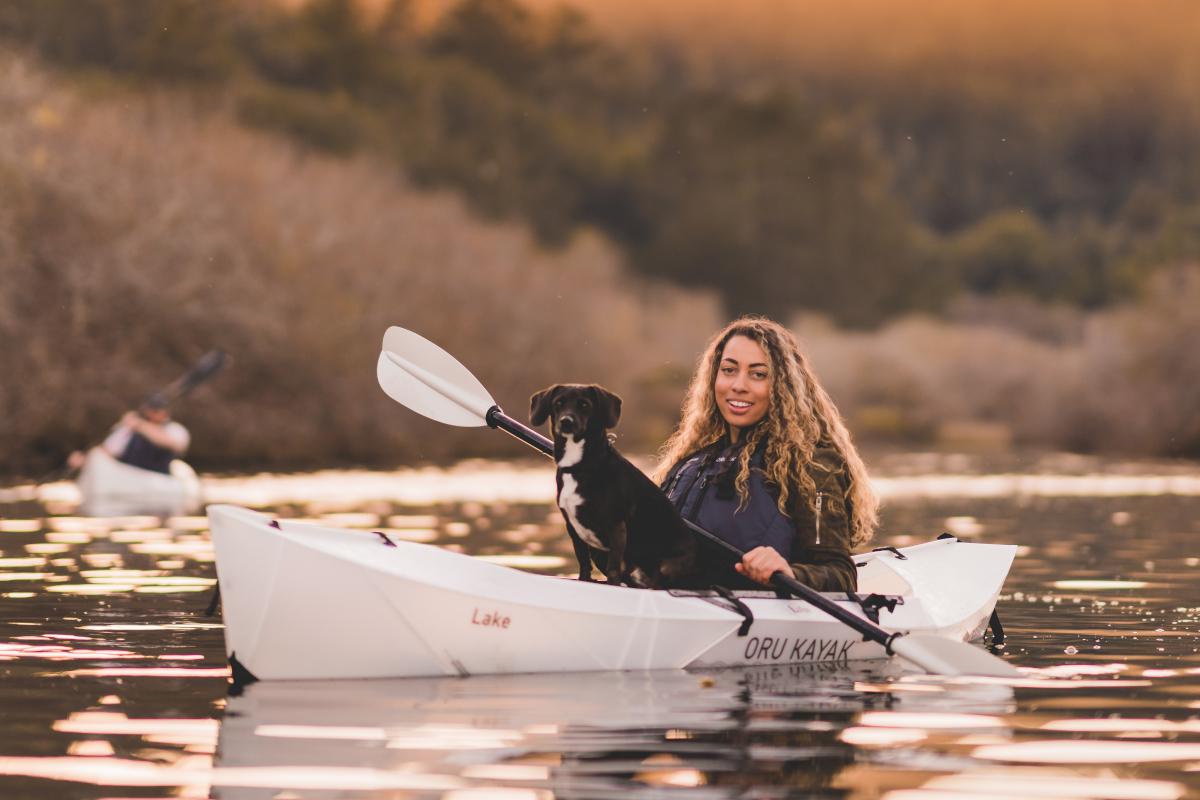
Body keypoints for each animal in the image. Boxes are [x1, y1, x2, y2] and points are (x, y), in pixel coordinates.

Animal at [530, 383, 700, 587]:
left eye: (585, 405)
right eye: (558, 403)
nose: (566, 421)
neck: (581, 464)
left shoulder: (616, 527)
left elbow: (613, 568)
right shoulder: (573, 527)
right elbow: (584, 562)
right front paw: (585, 580)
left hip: (665, 567)